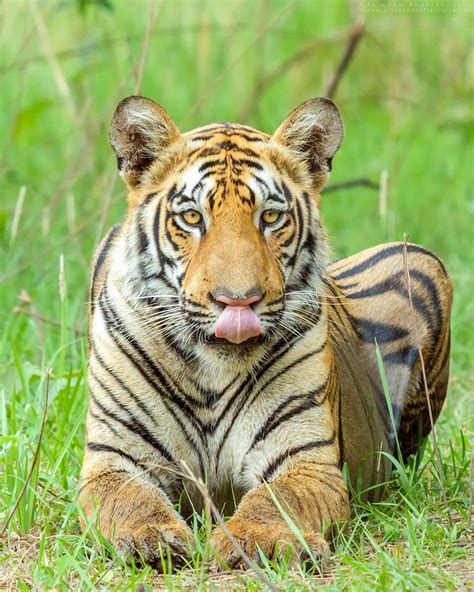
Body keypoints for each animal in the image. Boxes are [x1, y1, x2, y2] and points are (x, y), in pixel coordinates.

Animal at [79, 97, 454, 568]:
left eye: (271, 217)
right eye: (192, 217)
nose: (238, 301)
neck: (211, 375)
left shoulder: (305, 458)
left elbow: (277, 500)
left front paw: (259, 539)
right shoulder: (115, 458)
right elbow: (128, 500)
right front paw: (151, 537)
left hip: (420, 259)